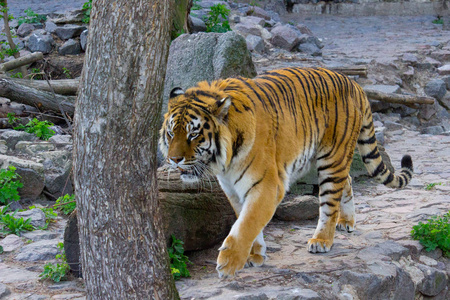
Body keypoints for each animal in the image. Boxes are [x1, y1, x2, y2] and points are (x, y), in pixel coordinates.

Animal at [160, 66, 414, 276]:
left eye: (194, 134)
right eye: (171, 133)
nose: (174, 159)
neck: (225, 161)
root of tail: (354, 84)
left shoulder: (267, 185)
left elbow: (247, 223)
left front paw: (229, 262)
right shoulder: (232, 189)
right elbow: (246, 221)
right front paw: (255, 254)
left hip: (331, 158)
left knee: (330, 202)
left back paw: (322, 240)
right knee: (348, 179)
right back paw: (347, 221)